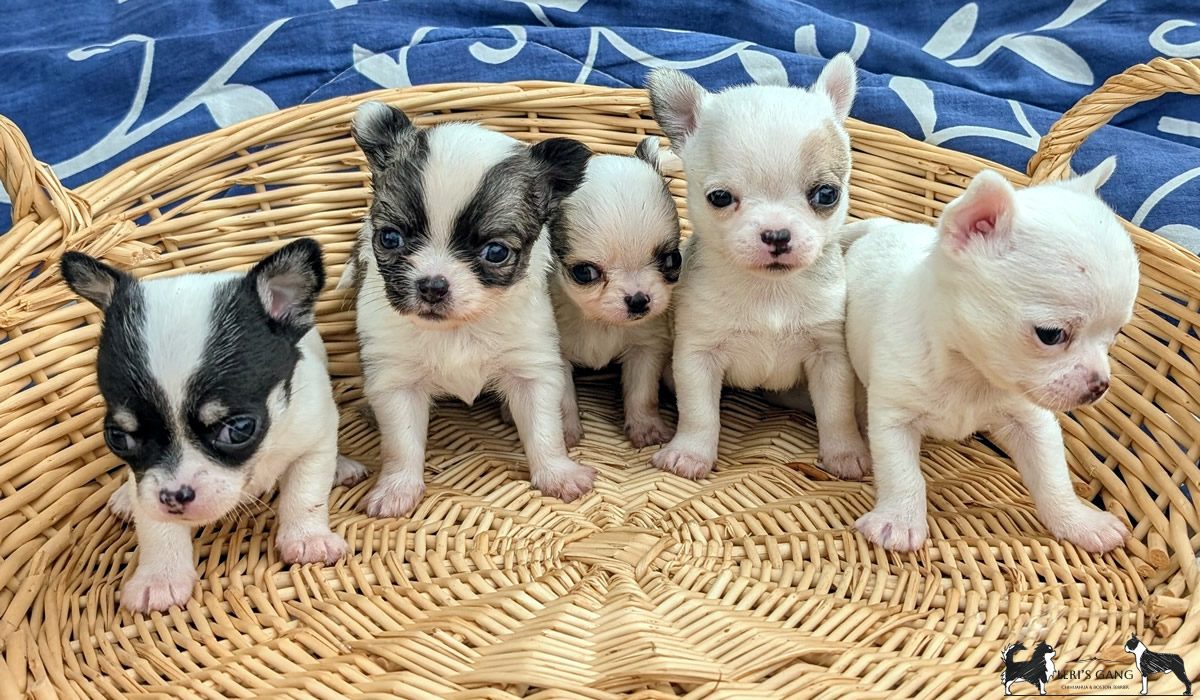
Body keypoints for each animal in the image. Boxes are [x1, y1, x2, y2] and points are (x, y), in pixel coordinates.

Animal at [343, 101, 595, 518]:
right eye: (389, 238)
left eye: (496, 252)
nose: (432, 284)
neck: (458, 327)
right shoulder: (396, 382)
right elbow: (401, 444)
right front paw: (396, 489)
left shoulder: (531, 369)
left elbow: (544, 431)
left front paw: (557, 474)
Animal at [549, 135, 681, 449]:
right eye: (584, 273)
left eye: (674, 260)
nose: (638, 300)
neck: (600, 322)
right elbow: (561, 400)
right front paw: (565, 434)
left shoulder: (645, 347)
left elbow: (642, 394)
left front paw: (646, 429)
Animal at [648, 53, 873, 482]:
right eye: (720, 198)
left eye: (827, 194)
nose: (777, 234)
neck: (769, 291)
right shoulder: (697, 356)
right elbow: (699, 413)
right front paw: (690, 454)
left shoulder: (829, 357)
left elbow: (836, 412)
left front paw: (846, 454)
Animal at [849, 158, 1137, 552]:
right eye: (1051, 335)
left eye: (1117, 334)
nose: (1100, 386)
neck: (970, 371)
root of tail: (884, 226)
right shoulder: (895, 418)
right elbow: (902, 473)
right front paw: (899, 521)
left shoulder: (1031, 422)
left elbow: (1052, 478)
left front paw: (1078, 521)